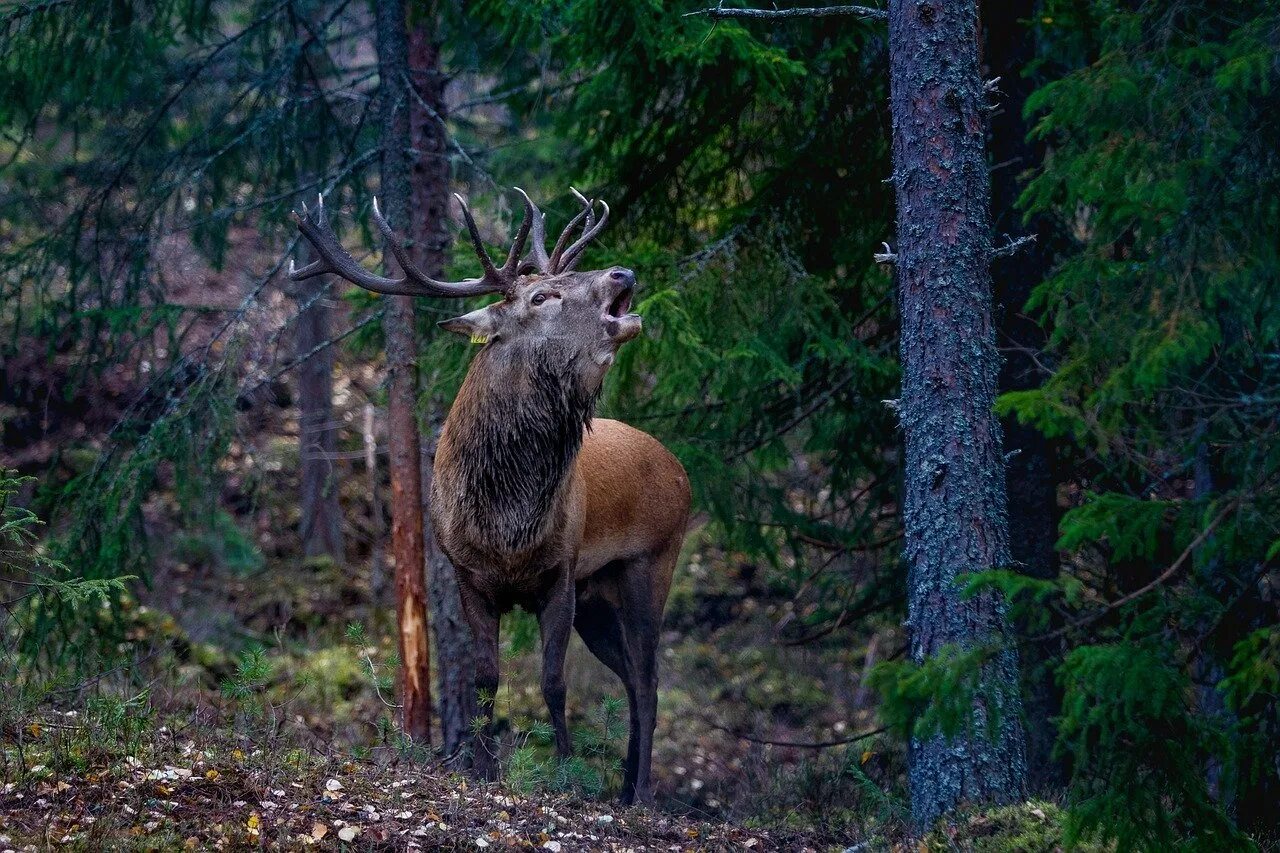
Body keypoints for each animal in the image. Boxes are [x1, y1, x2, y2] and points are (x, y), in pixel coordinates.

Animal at [289, 188, 691, 804]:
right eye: (543, 295)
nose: (623, 271)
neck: (506, 526)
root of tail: (681, 471)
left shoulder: (560, 573)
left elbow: (552, 681)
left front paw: (565, 772)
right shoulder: (468, 577)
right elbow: (484, 680)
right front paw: (479, 769)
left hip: (651, 562)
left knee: (647, 681)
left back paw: (642, 793)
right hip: (599, 595)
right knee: (629, 677)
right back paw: (626, 786)